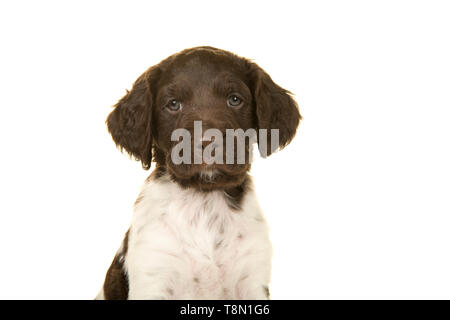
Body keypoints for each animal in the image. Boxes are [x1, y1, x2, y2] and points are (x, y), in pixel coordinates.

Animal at [96, 46, 300, 298]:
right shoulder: (154, 272)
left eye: (235, 99)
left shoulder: (252, 277)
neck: (204, 199)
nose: (209, 142)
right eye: (173, 104)